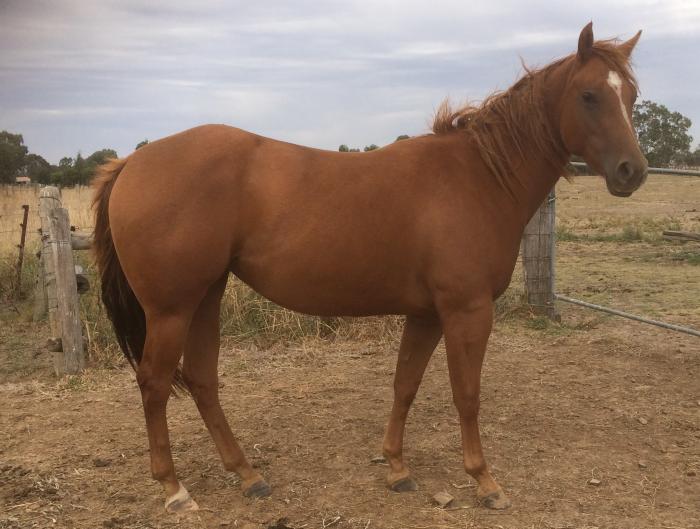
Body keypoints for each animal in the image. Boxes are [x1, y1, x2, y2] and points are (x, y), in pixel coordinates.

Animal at [92, 22, 647, 513]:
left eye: (632, 95)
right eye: (590, 95)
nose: (632, 172)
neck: (478, 178)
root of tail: (132, 163)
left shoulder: (426, 314)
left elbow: (405, 385)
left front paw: (397, 469)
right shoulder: (467, 312)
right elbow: (466, 394)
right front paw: (484, 481)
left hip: (205, 296)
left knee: (202, 380)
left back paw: (248, 475)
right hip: (171, 309)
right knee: (155, 384)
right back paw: (174, 489)